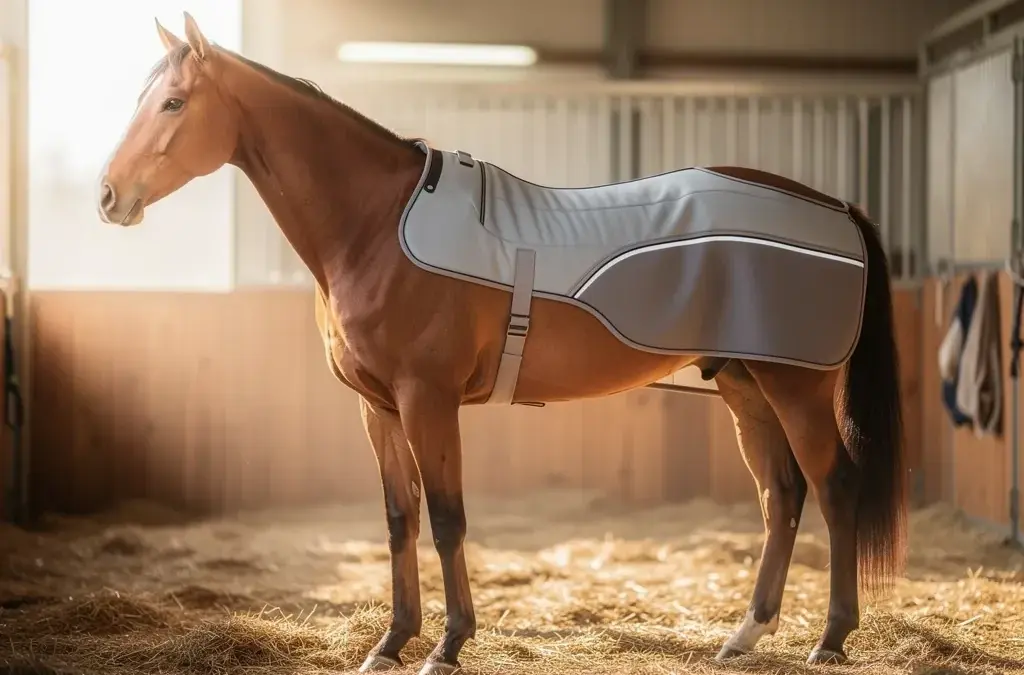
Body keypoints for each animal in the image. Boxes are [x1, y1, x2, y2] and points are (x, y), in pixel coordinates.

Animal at [96, 14, 907, 675]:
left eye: (173, 103)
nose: (109, 196)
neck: (375, 226)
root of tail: (835, 208)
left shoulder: (428, 400)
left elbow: (448, 517)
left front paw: (450, 644)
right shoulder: (378, 408)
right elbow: (400, 518)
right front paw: (392, 642)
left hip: (795, 386)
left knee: (834, 488)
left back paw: (831, 638)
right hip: (746, 387)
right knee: (782, 496)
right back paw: (743, 636)